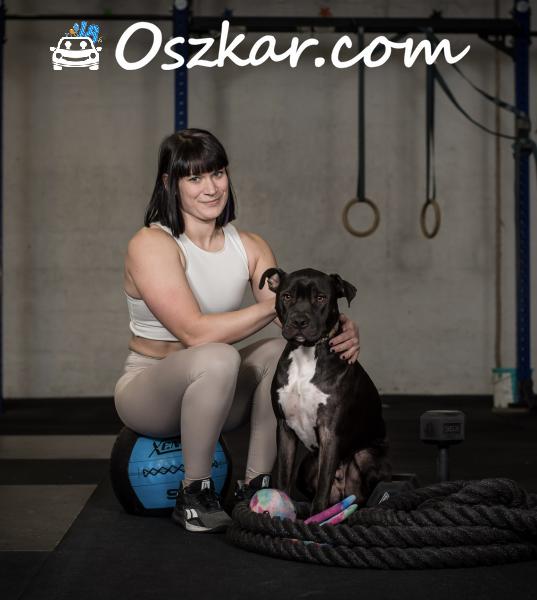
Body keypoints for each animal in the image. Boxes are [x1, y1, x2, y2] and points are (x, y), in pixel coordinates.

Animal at [260, 267, 392, 514]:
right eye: (287, 296)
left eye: (320, 298)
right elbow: (283, 477)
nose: (299, 320)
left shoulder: (330, 432)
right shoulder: (284, 429)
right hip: (307, 467)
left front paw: (317, 518)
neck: (307, 353)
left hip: (367, 456)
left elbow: (322, 488)